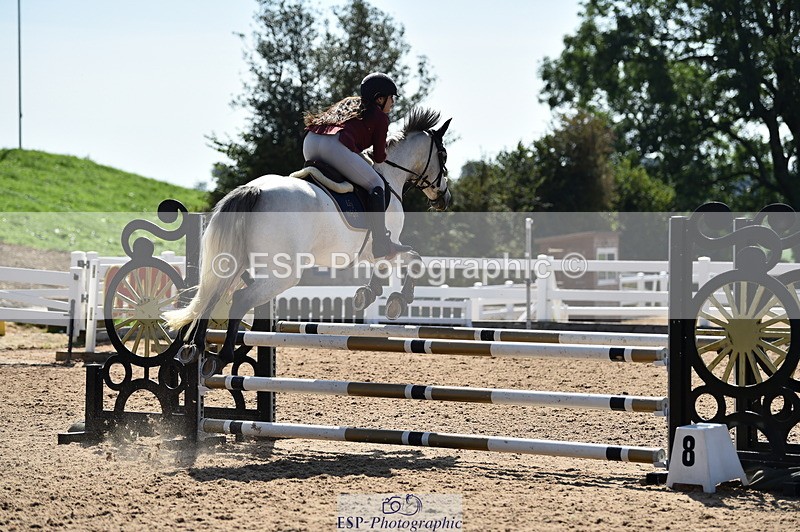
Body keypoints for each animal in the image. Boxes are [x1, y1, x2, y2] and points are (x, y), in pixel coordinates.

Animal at [164, 107, 451, 371]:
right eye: (444, 155)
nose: (445, 199)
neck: (390, 177)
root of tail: (253, 189)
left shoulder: (372, 254)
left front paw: (368, 295)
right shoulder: (381, 248)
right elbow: (414, 259)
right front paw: (395, 301)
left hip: (237, 261)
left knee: (213, 294)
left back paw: (195, 348)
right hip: (284, 273)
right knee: (240, 299)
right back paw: (222, 357)